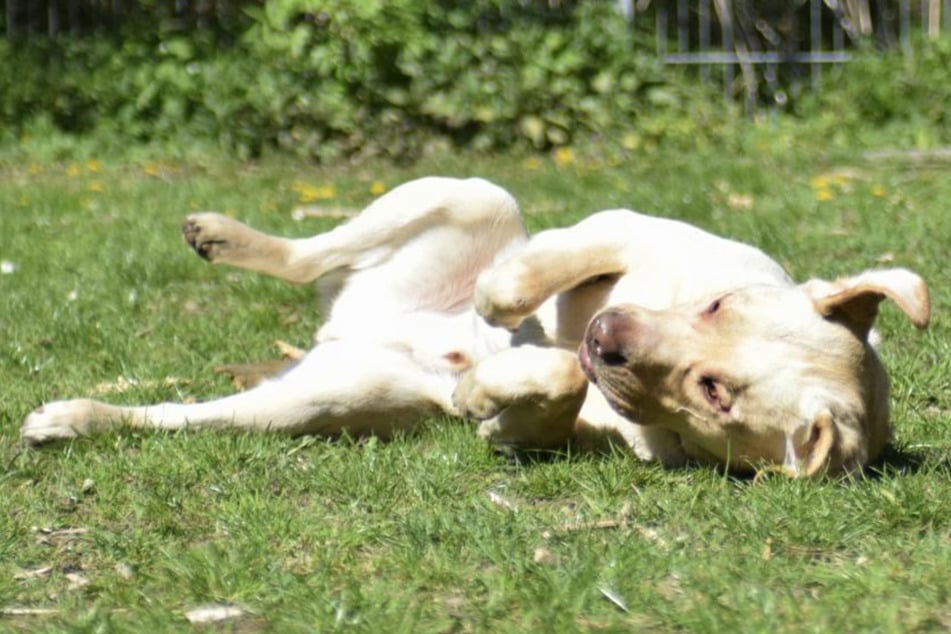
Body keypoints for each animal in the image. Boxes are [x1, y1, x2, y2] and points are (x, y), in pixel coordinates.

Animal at [18, 175, 932, 472]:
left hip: (315, 405)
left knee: (177, 418)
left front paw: (486, 384)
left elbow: (541, 391)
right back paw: (222, 234)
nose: (604, 339)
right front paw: (505, 301)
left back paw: (74, 420)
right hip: (470, 194)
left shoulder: (551, 433)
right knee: (309, 256)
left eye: (717, 394)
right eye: (718, 306)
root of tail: (342, 335)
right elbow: (554, 264)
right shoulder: (625, 229)